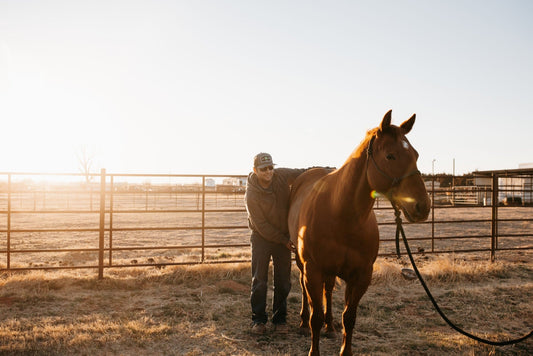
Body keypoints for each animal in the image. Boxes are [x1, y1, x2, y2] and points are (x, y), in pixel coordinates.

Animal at [288, 110, 430, 354]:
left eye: (416, 154)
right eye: (390, 156)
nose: (423, 206)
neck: (341, 214)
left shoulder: (361, 276)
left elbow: (349, 318)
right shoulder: (313, 270)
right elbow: (316, 316)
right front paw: (313, 344)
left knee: (328, 291)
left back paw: (330, 326)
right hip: (302, 263)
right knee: (305, 291)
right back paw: (303, 322)